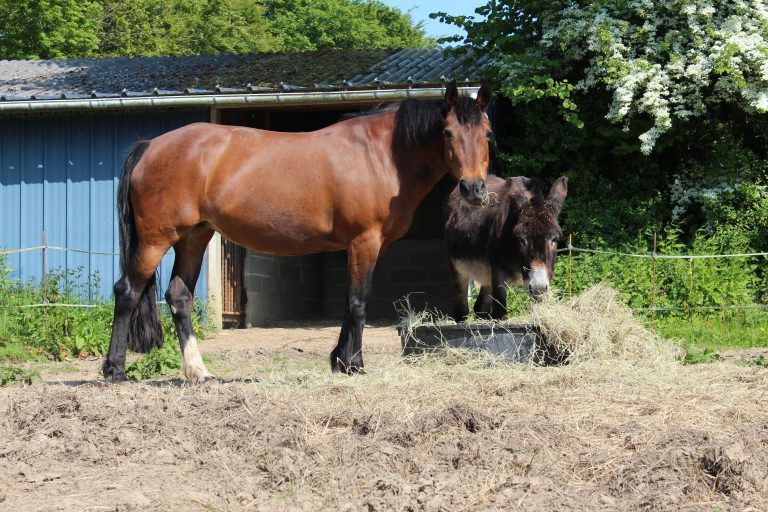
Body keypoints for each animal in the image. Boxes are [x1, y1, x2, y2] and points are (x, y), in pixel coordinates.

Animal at [103, 81, 493, 382]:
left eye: (487, 134)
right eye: (447, 133)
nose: (474, 189)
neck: (382, 155)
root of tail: (151, 146)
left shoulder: (368, 245)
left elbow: (350, 301)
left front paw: (339, 361)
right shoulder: (364, 241)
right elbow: (358, 301)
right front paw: (354, 365)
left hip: (194, 237)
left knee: (179, 296)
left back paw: (199, 372)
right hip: (157, 239)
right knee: (127, 291)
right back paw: (115, 370)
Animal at [444, 174, 568, 322]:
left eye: (555, 239)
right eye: (521, 239)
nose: (538, 287)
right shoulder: (498, 269)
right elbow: (500, 313)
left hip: (487, 277)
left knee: (480, 308)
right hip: (457, 268)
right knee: (461, 310)